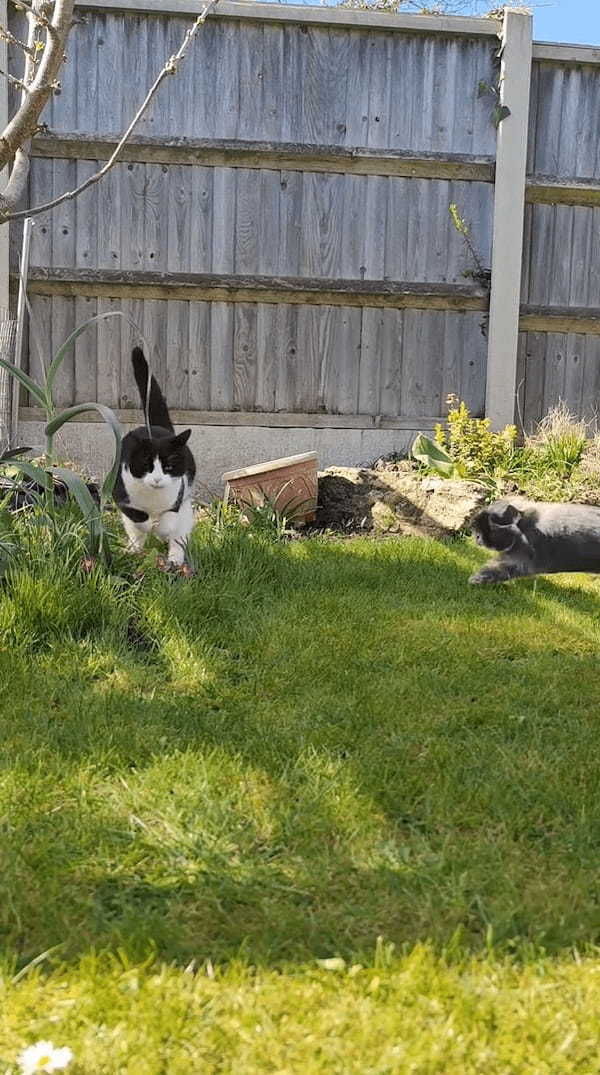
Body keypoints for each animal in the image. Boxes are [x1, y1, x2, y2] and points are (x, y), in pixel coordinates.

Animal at [113, 350, 197, 571]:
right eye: (147, 465)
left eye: (168, 466)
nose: (158, 479)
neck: (153, 498)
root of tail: (158, 428)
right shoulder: (120, 495)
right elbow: (139, 517)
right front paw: (149, 525)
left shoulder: (177, 498)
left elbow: (168, 521)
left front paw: (161, 531)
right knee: (135, 533)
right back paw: (133, 551)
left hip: (186, 510)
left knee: (178, 538)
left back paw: (174, 560)